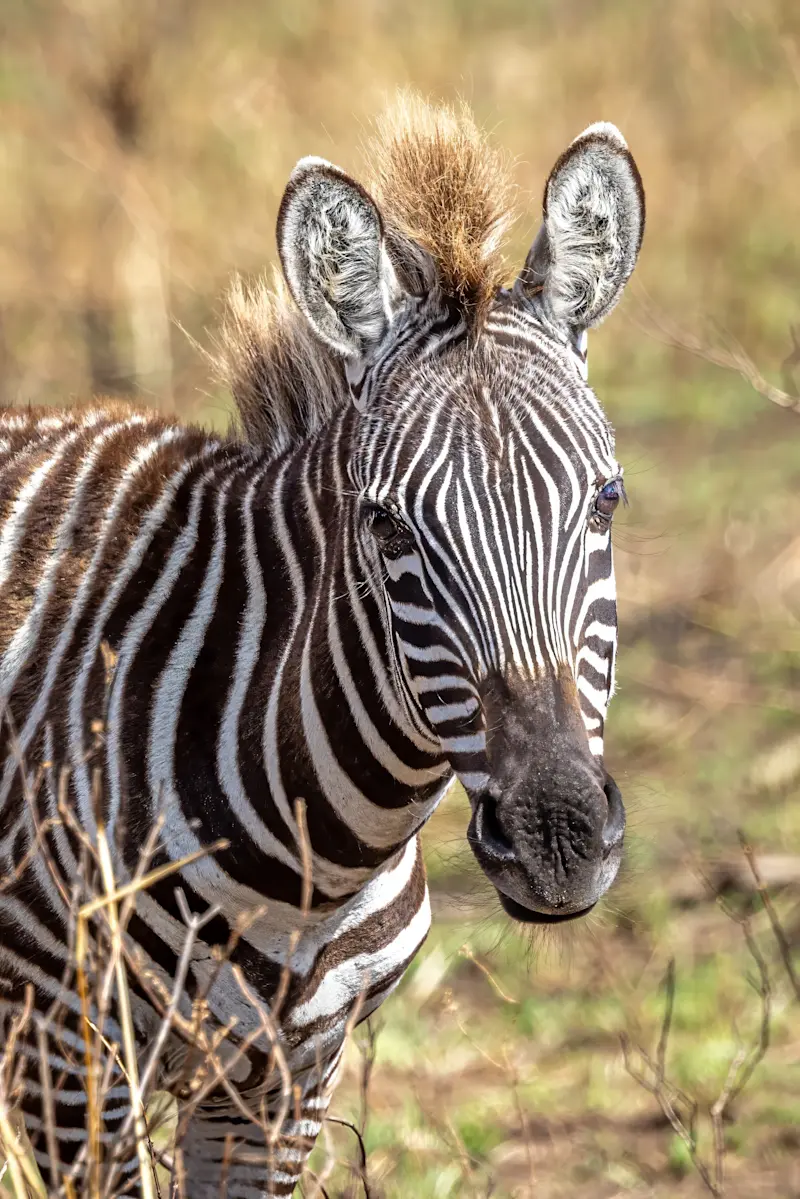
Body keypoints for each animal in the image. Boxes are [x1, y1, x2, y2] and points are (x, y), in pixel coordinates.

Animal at [0, 97, 644, 1196]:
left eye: (605, 502)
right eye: (385, 527)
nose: (556, 840)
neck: (313, 864)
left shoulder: (285, 1082)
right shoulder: (66, 1055)